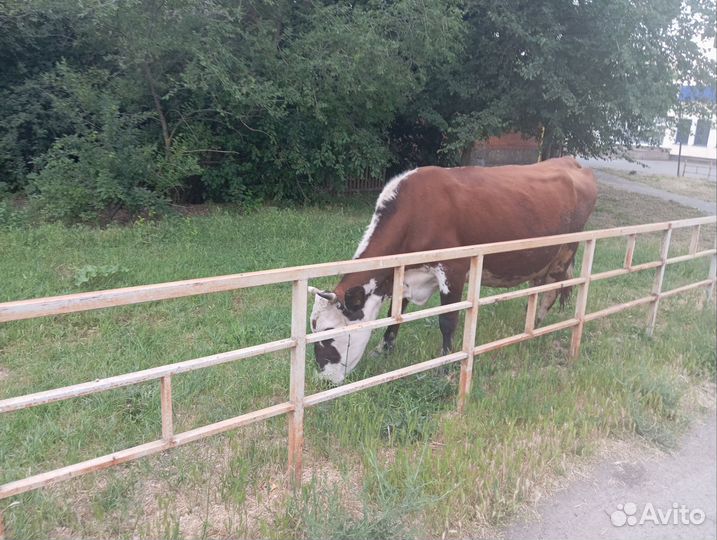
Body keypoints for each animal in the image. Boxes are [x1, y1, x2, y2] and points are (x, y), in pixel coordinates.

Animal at [309, 157, 598, 384]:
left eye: (328, 333)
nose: (323, 380)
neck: (416, 214)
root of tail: (570, 161)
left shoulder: (454, 269)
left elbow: (447, 321)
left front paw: (445, 364)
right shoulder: (407, 275)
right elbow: (395, 314)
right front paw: (383, 350)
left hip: (566, 250)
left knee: (553, 290)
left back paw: (535, 326)